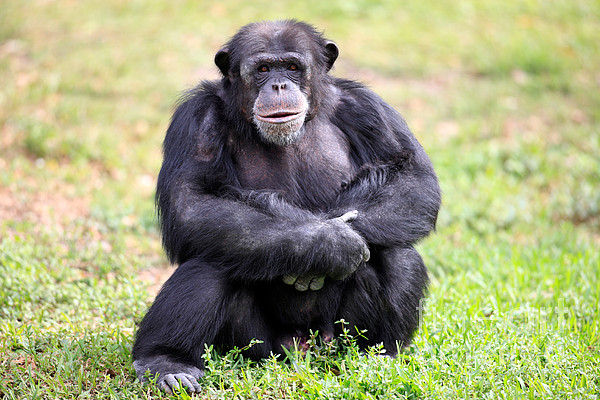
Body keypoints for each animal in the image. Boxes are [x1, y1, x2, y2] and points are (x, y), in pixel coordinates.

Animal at [131, 20, 440, 392]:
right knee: (213, 257)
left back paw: (381, 354)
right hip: (257, 347)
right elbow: (192, 201)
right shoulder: (197, 117)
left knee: (395, 252)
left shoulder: (368, 108)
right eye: (263, 69)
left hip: (337, 339)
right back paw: (167, 361)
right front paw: (329, 243)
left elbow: (413, 179)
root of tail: (303, 348)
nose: (279, 84)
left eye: (292, 66)